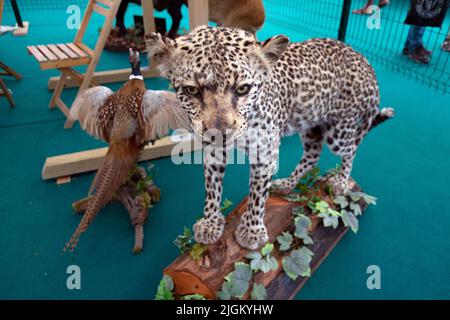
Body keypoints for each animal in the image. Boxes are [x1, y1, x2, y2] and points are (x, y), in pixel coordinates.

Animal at [145, 26, 394, 249]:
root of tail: (364, 61)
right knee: (313, 154)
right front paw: (210, 222)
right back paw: (287, 184)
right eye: (192, 91)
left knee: (350, 149)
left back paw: (341, 182)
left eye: (243, 89)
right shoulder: (214, 152)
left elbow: (257, 194)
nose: (220, 132)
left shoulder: (265, 153)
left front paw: (251, 231)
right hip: (311, 125)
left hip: (340, 131)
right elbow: (212, 189)